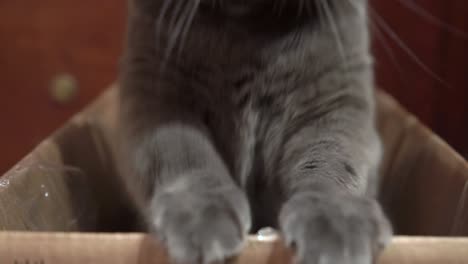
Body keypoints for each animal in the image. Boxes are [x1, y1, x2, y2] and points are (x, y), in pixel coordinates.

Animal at [119, 0, 394, 262]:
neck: (249, 27)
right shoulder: (154, 93)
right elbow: (183, 153)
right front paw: (201, 217)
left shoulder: (338, 101)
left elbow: (333, 158)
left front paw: (334, 226)